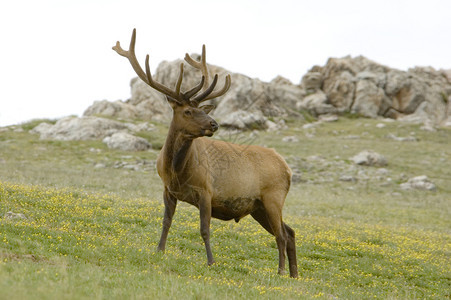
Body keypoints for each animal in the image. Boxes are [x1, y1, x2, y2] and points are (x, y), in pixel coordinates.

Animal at [112, 29, 300, 278]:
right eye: (188, 111)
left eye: (201, 109)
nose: (214, 123)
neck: (177, 171)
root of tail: (287, 169)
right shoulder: (167, 189)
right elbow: (166, 221)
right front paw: (159, 250)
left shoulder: (206, 190)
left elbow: (204, 229)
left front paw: (211, 261)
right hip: (258, 206)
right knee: (290, 232)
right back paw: (294, 275)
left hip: (273, 196)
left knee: (281, 235)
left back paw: (280, 272)